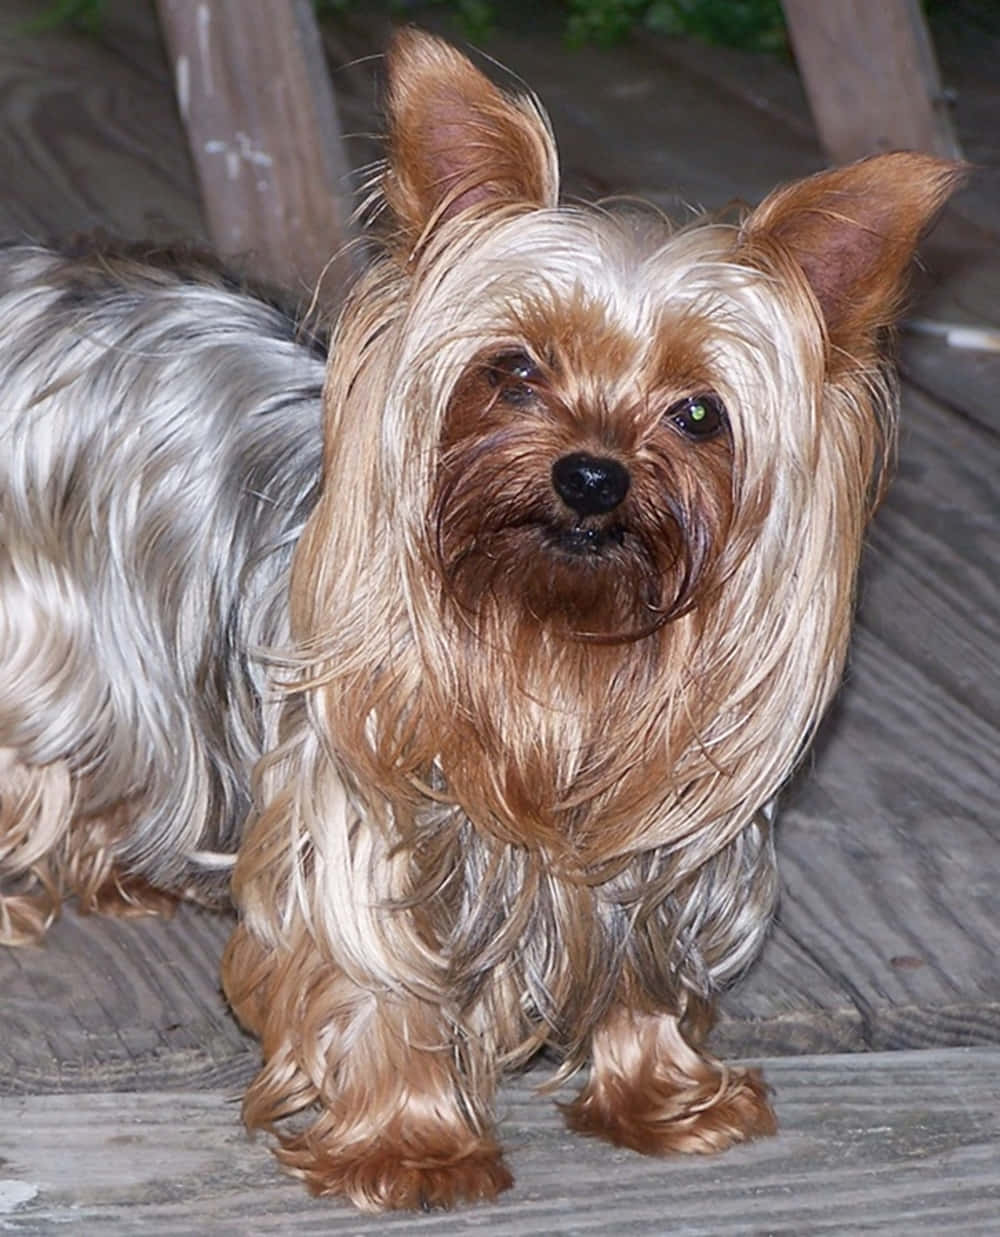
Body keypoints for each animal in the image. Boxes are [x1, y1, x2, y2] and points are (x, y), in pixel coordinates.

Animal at [1, 26, 970, 1207]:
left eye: (699, 413)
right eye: (512, 369)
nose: (592, 477)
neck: (555, 654)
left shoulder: (660, 846)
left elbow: (643, 969)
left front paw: (665, 1098)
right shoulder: (366, 808)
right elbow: (377, 974)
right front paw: (410, 1146)